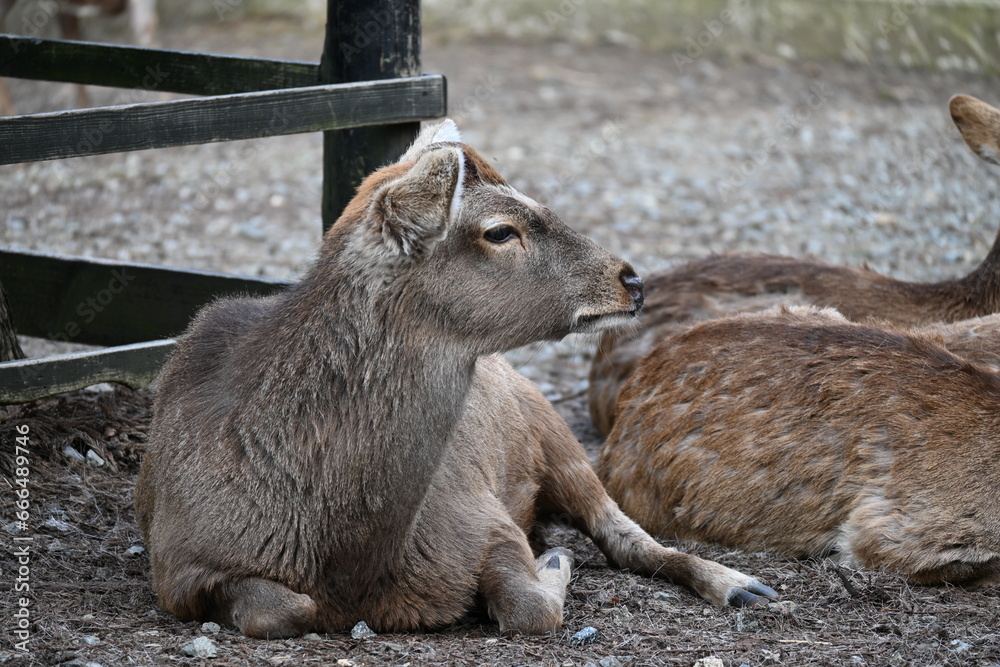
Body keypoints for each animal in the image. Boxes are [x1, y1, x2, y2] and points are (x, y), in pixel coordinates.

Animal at [134, 120, 777, 639]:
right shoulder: (178, 567)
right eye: (500, 231)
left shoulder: (480, 515)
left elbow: (530, 607)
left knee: (629, 536)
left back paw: (742, 584)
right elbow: (277, 610)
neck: (350, 554)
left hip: (553, 430)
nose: (633, 281)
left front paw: (554, 562)